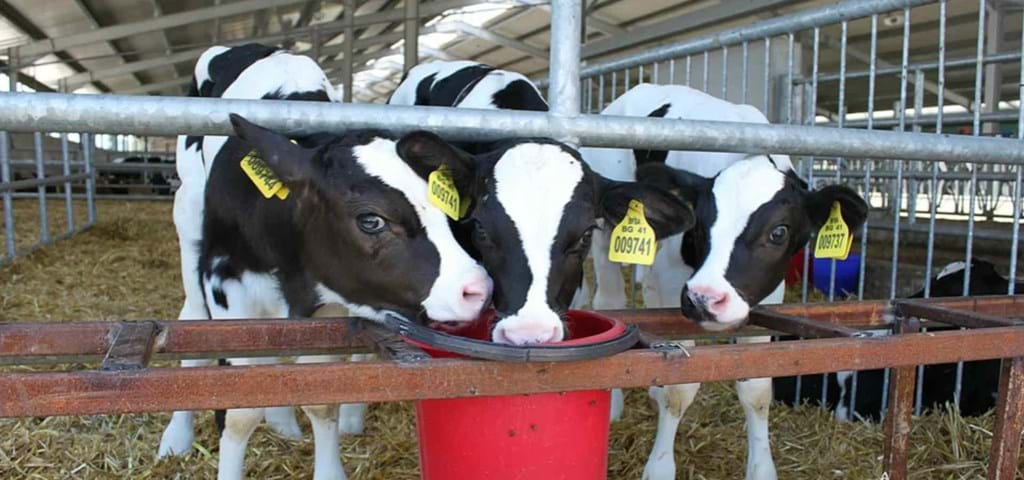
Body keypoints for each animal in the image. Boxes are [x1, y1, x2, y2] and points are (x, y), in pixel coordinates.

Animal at [159, 45, 495, 478]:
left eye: (447, 210)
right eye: (371, 220)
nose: (478, 289)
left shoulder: (330, 296)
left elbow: (320, 394)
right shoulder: (227, 285)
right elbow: (240, 410)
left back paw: (282, 422)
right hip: (188, 226)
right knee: (191, 318)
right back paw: (176, 436)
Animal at [581, 84, 868, 476]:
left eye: (779, 232)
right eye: (699, 226)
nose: (705, 298)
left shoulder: (768, 294)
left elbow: (758, 388)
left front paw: (762, 470)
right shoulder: (676, 280)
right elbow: (679, 387)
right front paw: (659, 469)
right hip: (609, 228)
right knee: (610, 300)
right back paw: (614, 405)